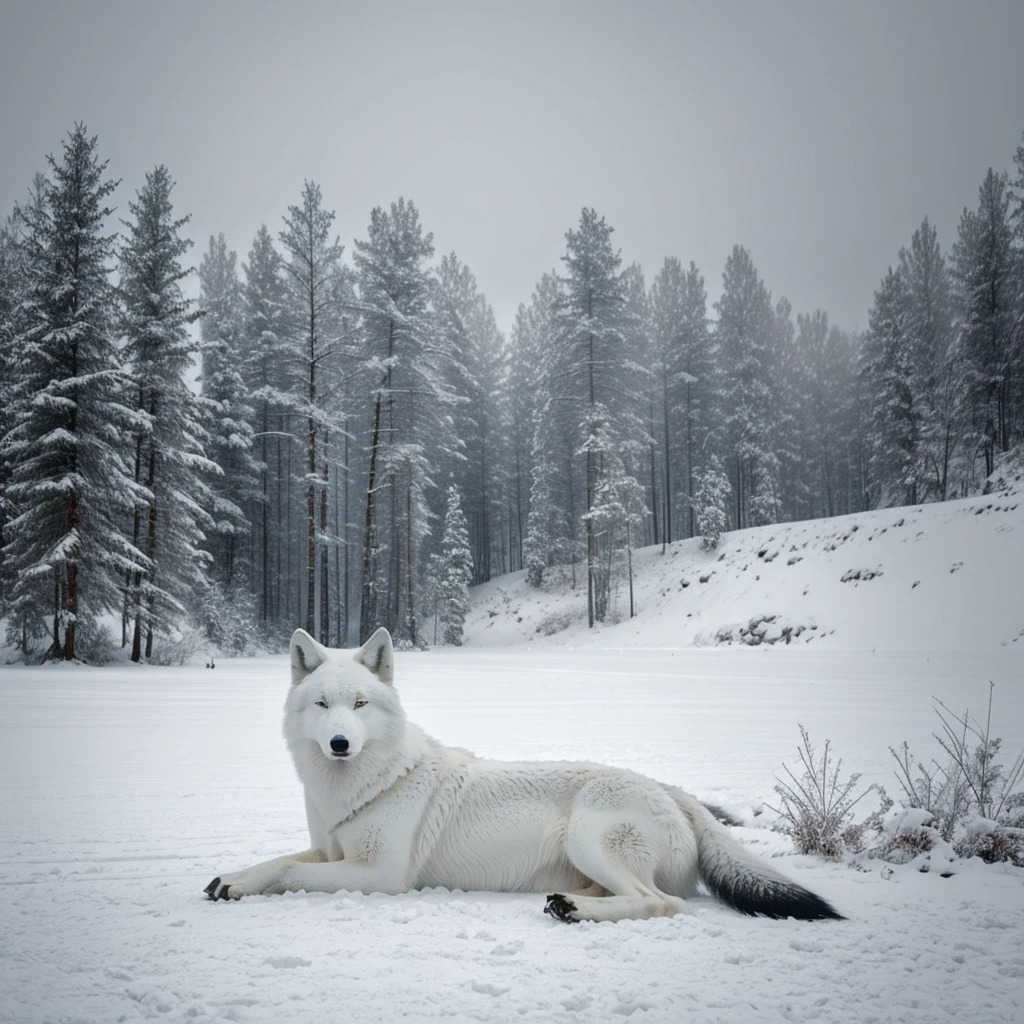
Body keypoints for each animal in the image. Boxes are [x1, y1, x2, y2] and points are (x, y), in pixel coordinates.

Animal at [205, 626, 839, 925]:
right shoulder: (330, 851)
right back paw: (569, 903)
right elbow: (276, 860)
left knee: (663, 903)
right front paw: (232, 879)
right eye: (322, 705)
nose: (340, 743)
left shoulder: (379, 874)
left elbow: (289, 869)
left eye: (359, 705)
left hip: (589, 838)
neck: (358, 787)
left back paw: (576, 913)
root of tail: (677, 794)